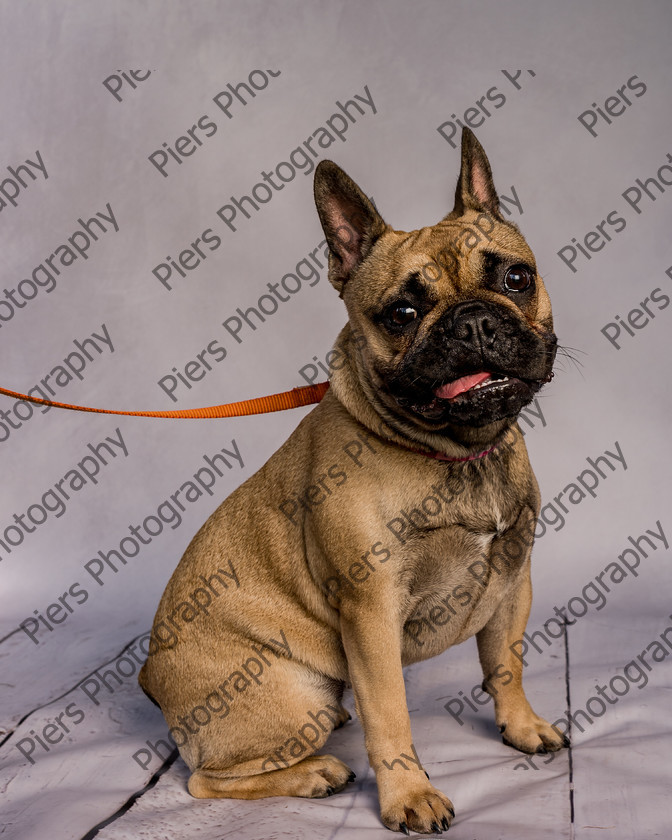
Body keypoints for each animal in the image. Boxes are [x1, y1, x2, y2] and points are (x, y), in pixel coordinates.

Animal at [139, 128, 564, 832]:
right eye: (402, 312)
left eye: (516, 277)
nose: (473, 320)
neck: (458, 453)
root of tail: (150, 678)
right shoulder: (371, 613)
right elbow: (389, 714)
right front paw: (409, 796)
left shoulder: (513, 579)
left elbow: (506, 663)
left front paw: (522, 727)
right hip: (292, 694)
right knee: (203, 780)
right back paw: (316, 774)